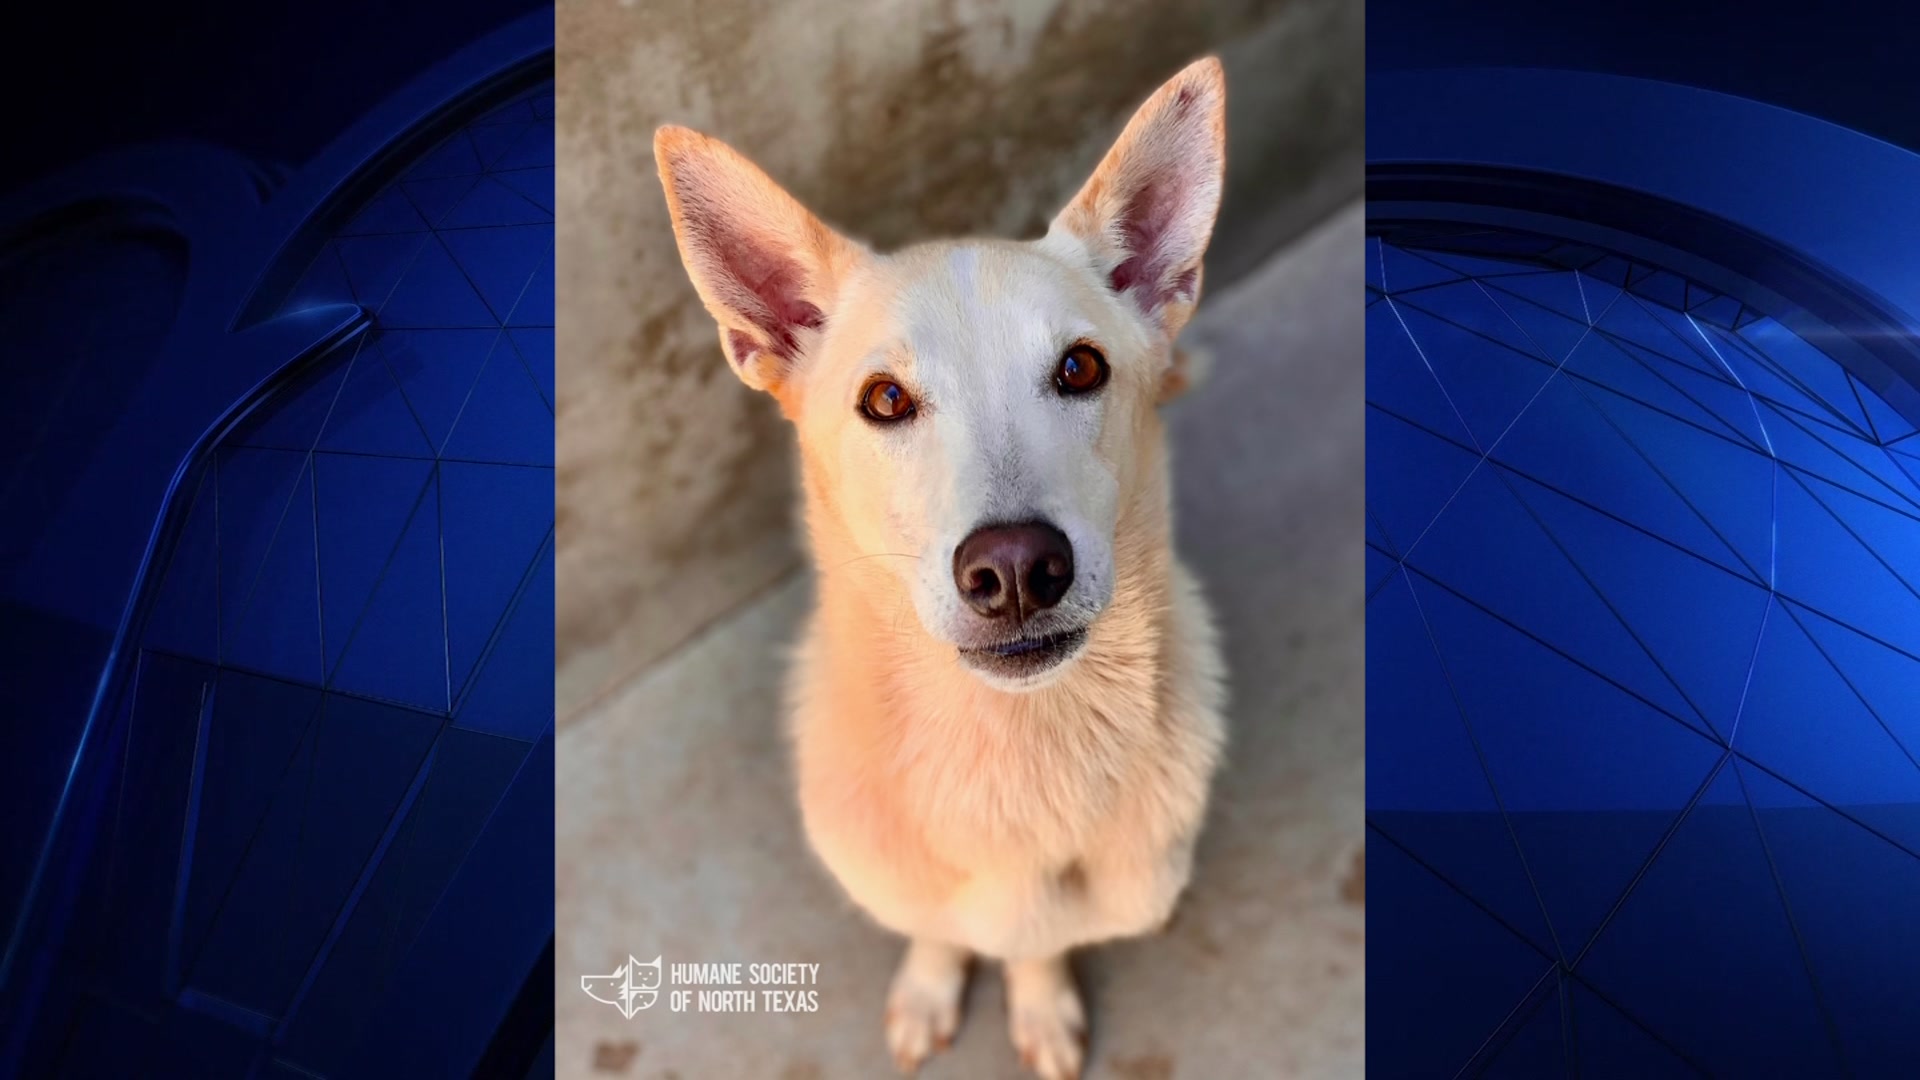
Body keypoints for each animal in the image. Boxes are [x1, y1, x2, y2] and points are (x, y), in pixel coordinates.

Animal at [656, 61, 1228, 1076]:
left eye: (1081, 369)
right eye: (885, 399)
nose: (1017, 568)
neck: (1008, 752)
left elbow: (1036, 945)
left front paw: (1039, 1003)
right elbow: (935, 929)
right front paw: (930, 988)